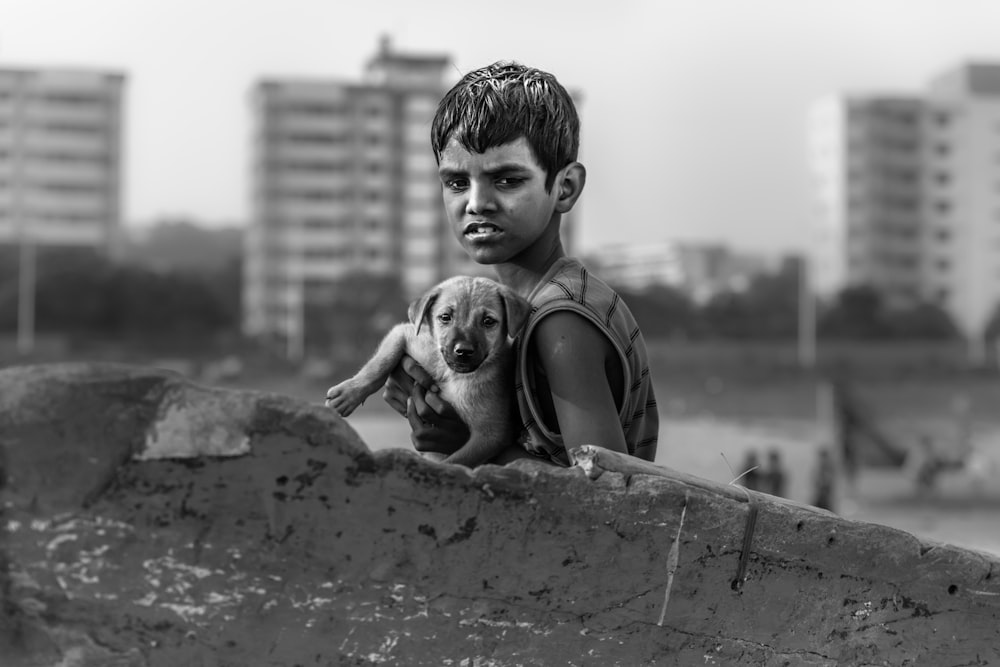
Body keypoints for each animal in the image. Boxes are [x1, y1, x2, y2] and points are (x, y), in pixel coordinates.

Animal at [326, 274, 532, 468]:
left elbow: (455, 462)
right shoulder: (407, 335)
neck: (452, 375)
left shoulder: (490, 435)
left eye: (488, 321)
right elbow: (380, 363)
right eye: (445, 317)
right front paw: (348, 393)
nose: (463, 351)